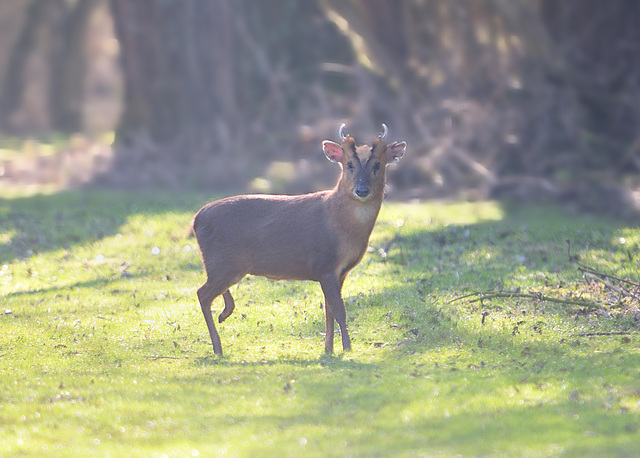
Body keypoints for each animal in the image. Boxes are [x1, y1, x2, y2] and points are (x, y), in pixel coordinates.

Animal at [192, 123, 408, 356]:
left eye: (378, 164)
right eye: (349, 164)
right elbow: (339, 310)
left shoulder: (339, 272)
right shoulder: (325, 264)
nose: (362, 190)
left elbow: (329, 310)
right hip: (223, 262)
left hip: (225, 265)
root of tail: (196, 220)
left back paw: (224, 316)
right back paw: (218, 345)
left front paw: (329, 348)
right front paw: (348, 347)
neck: (341, 224)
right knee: (202, 293)